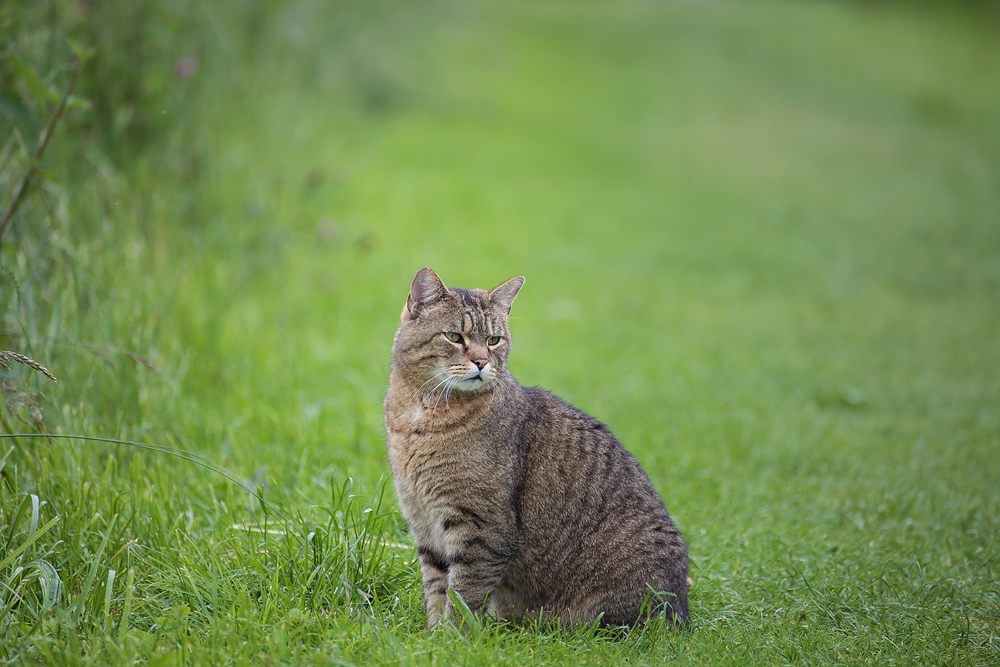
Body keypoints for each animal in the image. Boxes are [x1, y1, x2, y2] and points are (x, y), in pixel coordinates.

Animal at [382, 268, 688, 632]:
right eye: (454, 336)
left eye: (494, 340)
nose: (482, 362)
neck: (420, 416)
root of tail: (683, 614)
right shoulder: (424, 524)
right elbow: (436, 589)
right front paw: (433, 635)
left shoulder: (483, 529)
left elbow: (463, 595)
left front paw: (452, 637)